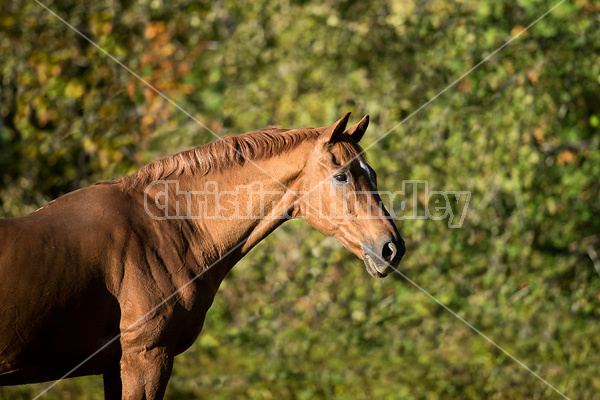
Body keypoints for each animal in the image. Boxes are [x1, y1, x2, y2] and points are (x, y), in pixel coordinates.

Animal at [0, 114, 406, 398]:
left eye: (370, 172)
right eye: (342, 176)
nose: (393, 247)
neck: (165, 228)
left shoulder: (114, 366)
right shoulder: (145, 359)